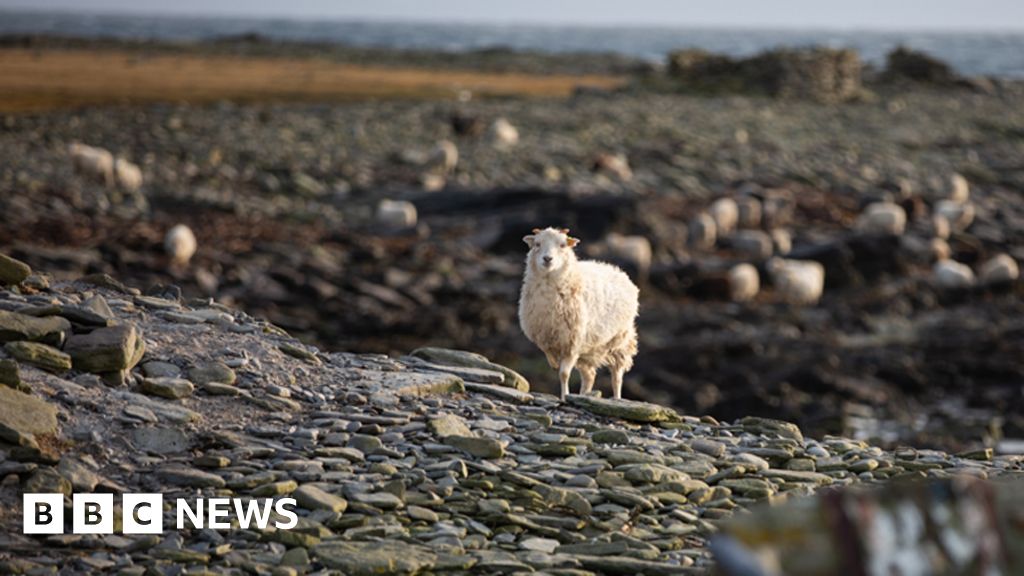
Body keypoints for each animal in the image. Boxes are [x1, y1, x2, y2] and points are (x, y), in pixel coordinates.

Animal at [518, 227, 639, 400]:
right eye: (537, 244)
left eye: (563, 245)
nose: (547, 259)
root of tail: (618, 271)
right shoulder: (546, 337)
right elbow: (551, 357)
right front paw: (554, 363)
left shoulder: (572, 343)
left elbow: (563, 374)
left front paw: (564, 397)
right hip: (588, 349)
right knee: (589, 376)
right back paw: (584, 395)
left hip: (620, 341)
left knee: (617, 375)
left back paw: (616, 397)